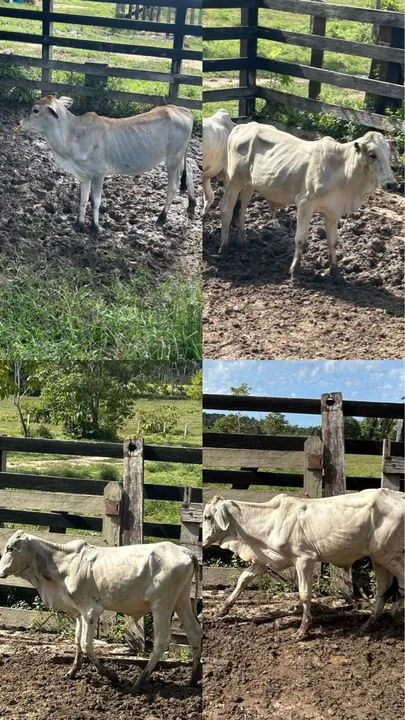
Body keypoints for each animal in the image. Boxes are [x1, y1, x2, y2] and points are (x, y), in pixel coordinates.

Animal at [0, 532, 201, 691]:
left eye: (10, 548)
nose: (1, 570)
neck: (63, 565)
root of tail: (186, 551)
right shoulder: (79, 611)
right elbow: (77, 641)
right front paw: (72, 671)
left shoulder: (91, 611)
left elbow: (86, 644)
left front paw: (111, 675)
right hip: (181, 601)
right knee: (194, 633)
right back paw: (193, 679)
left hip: (162, 605)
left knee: (162, 640)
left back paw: (139, 682)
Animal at [17, 96, 196, 233]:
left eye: (35, 110)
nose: (20, 123)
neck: (73, 135)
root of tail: (181, 110)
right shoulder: (83, 176)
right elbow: (83, 199)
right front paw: (79, 224)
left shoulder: (98, 174)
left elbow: (95, 200)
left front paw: (95, 228)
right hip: (179, 156)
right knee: (190, 169)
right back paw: (192, 203)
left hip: (173, 159)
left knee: (173, 186)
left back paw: (161, 218)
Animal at [203, 489, 404, 638]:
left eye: (207, 517)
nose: (203, 541)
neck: (270, 520)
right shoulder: (265, 559)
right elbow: (243, 580)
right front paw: (222, 610)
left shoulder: (304, 559)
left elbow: (304, 594)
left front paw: (303, 630)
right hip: (378, 558)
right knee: (383, 588)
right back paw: (369, 623)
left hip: (389, 555)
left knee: (400, 582)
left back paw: (395, 615)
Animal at [219, 123, 397, 277]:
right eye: (372, 154)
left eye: (388, 155)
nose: (391, 183)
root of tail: (243, 126)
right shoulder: (305, 204)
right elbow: (300, 240)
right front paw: (294, 270)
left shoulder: (333, 211)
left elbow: (333, 242)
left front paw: (335, 272)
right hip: (234, 182)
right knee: (226, 209)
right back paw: (224, 247)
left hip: (248, 185)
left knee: (241, 211)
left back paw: (243, 242)